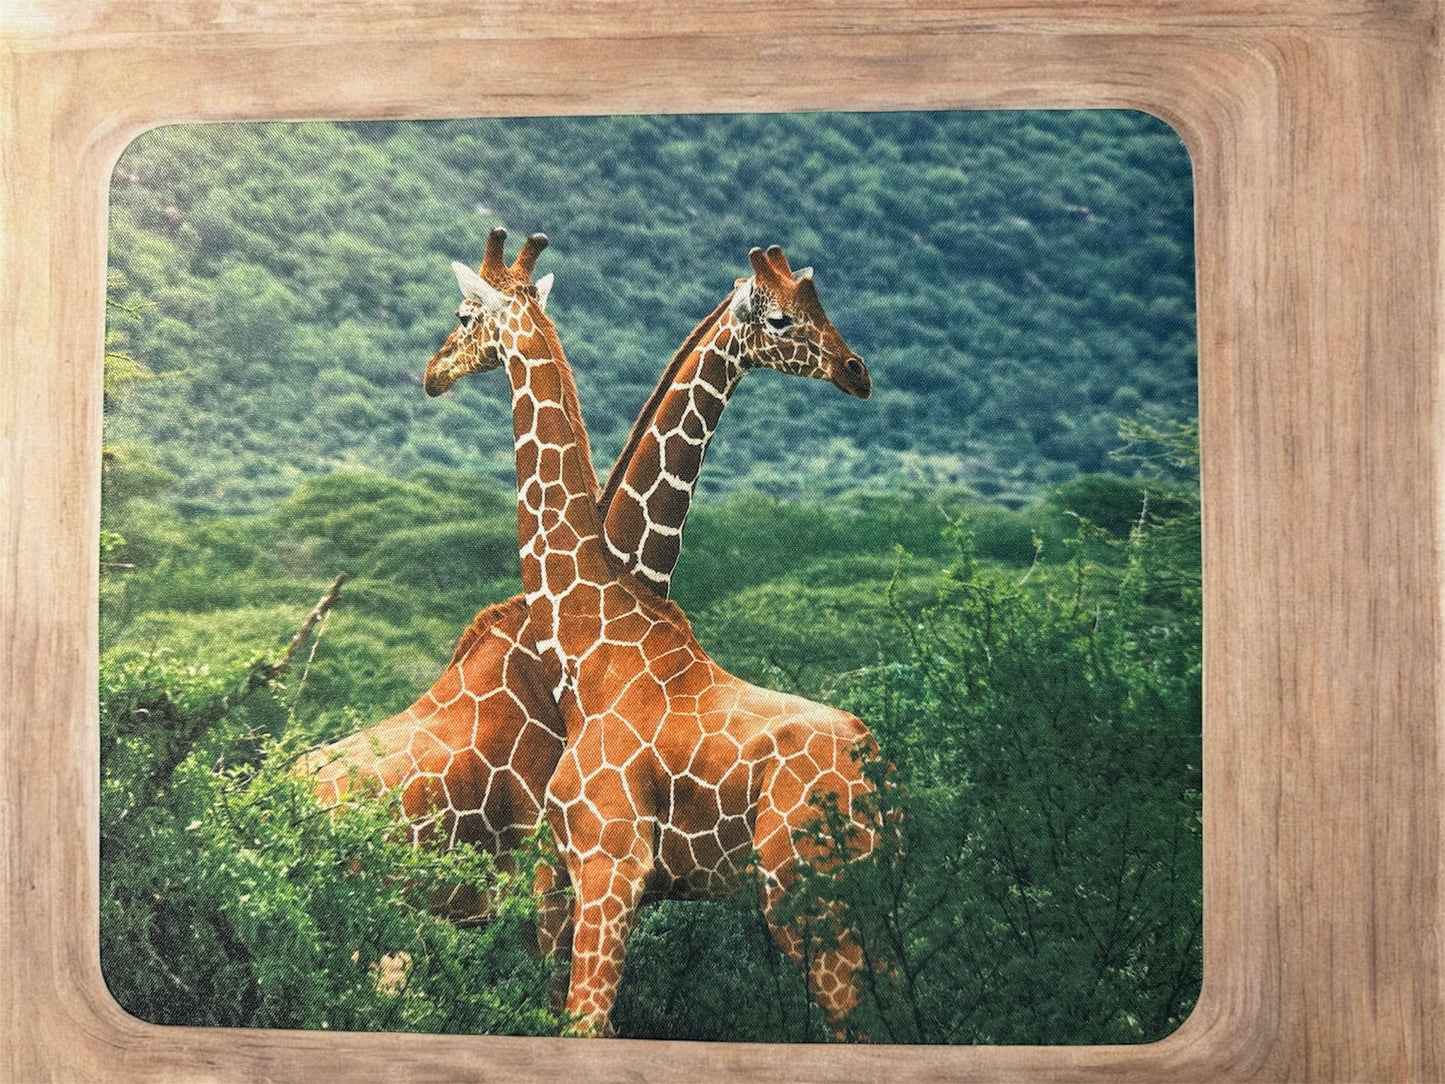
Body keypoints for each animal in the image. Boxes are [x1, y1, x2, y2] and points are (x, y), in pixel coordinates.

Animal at [423, 228, 885, 1037]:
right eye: (782, 318)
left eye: (462, 314)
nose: (432, 372)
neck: (593, 634)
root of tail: (878, 770)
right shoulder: (574, 875)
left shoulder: (609, 865)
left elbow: (584, 1024)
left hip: (806, 892)